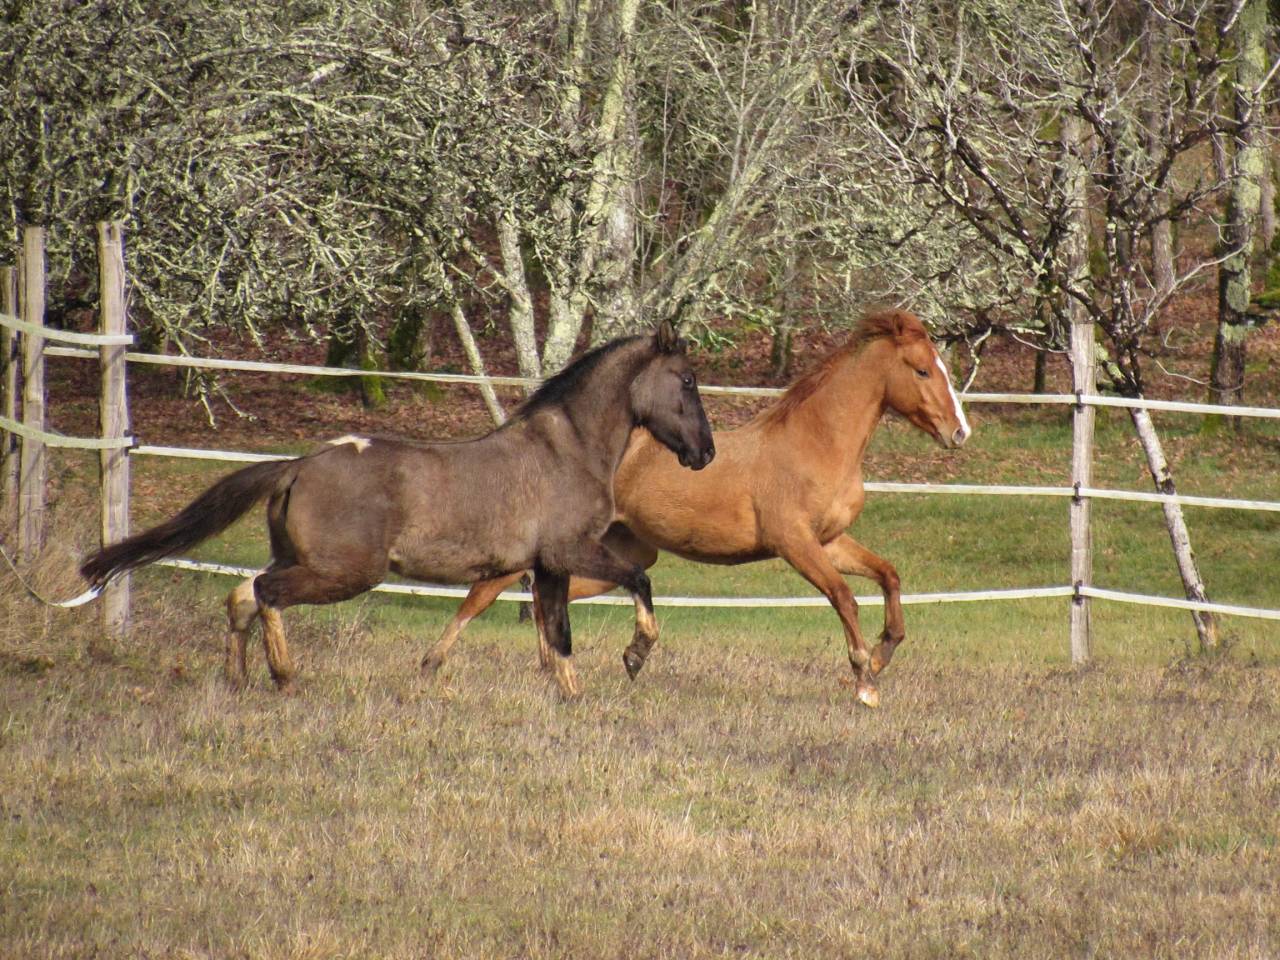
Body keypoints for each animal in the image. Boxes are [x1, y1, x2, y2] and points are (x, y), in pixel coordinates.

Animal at [80, 322, 716, 696]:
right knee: (265, 593)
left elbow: (557, 633)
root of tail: (297, 464)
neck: (570, 449)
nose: (705, 453)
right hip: (347, 571)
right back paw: (284, 676)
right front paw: (635, 656)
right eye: (686, 380)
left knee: (241, 596)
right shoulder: (571, 551)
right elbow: (637, 580)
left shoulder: (548, 565)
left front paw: (571, 694)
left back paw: (238, 679)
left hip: (303, 559)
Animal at [423, 309, 970, 708]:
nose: (959, 432)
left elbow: (889, 576)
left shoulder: (830, 541)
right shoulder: (794, 543)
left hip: (623, 552)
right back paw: (434, 667)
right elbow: (844, 597)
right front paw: (864, 680)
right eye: (923, 369)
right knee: (485, 594)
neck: (816, 445)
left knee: (547, 597)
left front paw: (881, 655)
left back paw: (571, 665)